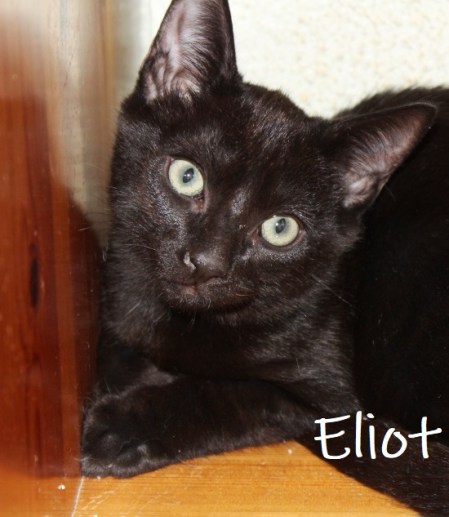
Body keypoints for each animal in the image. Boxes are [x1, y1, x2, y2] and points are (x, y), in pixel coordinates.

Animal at [81, 0, 449, 514]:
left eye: (280, 229)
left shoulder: (329, 397)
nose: (207, 261)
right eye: (187, 176)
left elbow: (229, 392)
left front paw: (119, 427)